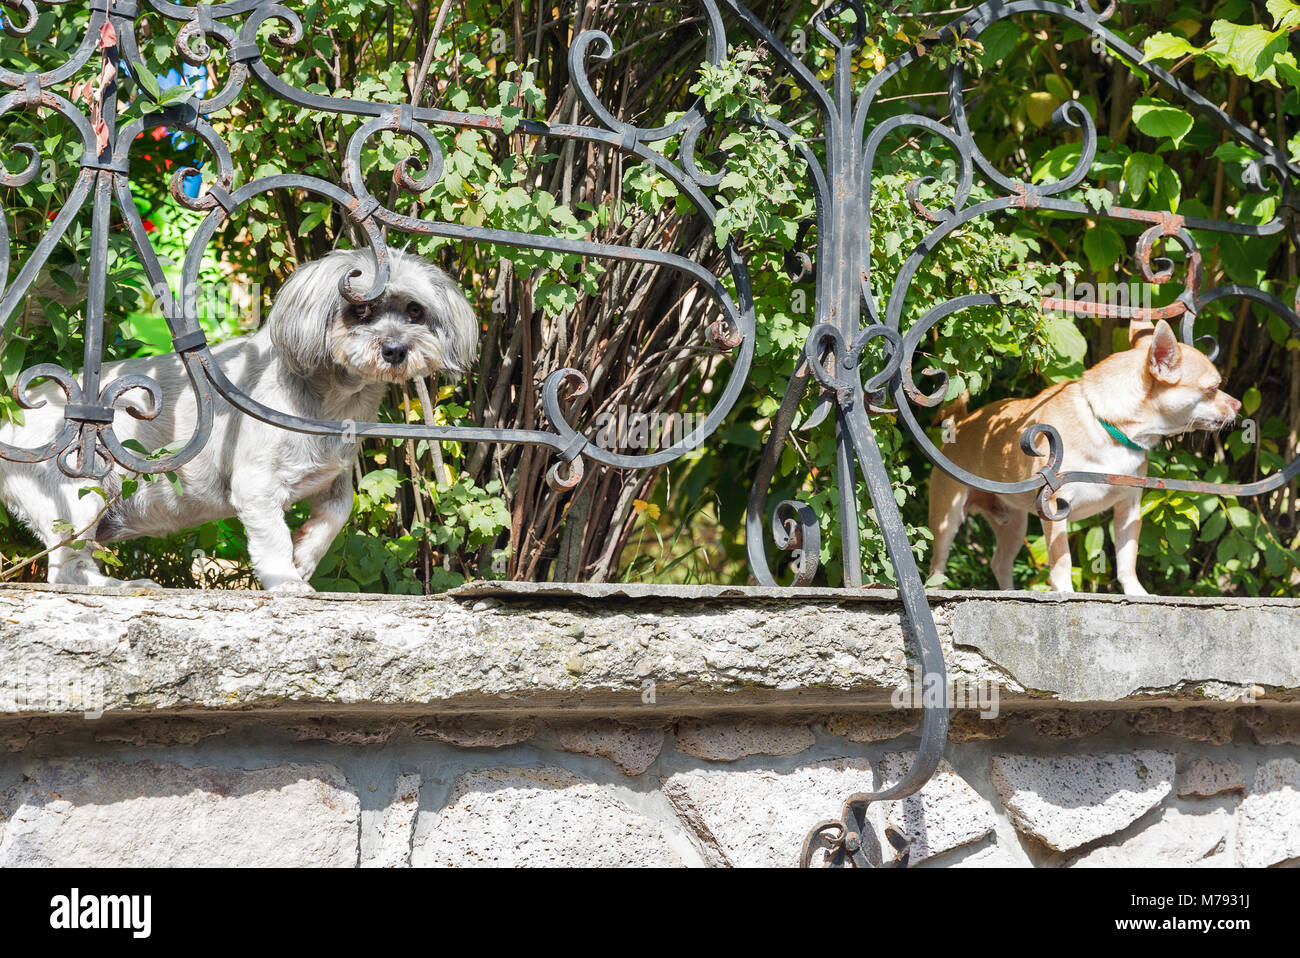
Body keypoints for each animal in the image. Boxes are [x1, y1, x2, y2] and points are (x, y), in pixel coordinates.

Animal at [0, 246, 478, 590]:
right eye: (359, 310)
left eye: (415, 311)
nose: (395, 348)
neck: (333, 403)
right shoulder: (256, 486)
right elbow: (273, 539)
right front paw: (288, 580)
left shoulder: (333, 480)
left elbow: (336, 515)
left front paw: (304, 557)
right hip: (80, 494)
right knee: (66, 570)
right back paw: (120, 586)